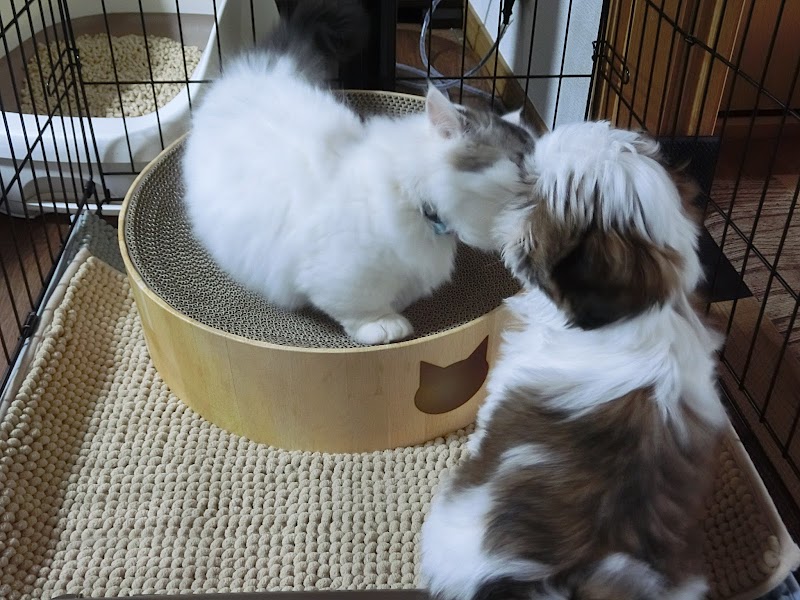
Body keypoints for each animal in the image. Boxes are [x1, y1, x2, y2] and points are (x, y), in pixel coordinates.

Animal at [182, 0, 536, 345]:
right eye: (521, 163)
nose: (541, 180)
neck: (413, 198)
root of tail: (258, 69)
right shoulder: (342, 273)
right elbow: (360, 306)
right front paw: (383, 325)